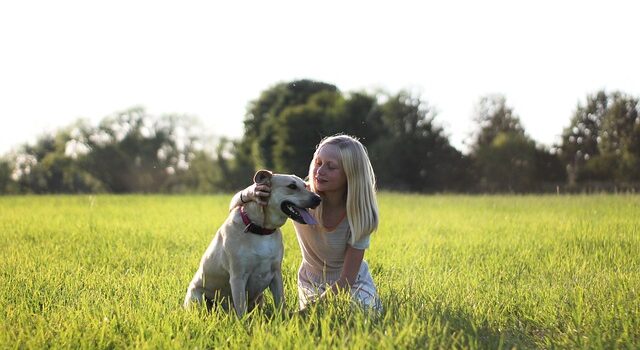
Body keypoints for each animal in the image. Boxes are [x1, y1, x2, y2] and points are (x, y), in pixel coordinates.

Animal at [182, 170, 320, 318]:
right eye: (292, 186)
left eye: (305, 186)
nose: (318, 199)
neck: (261, 230)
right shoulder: (238, 277)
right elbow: (241, 311)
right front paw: (244, 324)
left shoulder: (276, 273)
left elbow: (280, 303)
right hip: (198, 298)